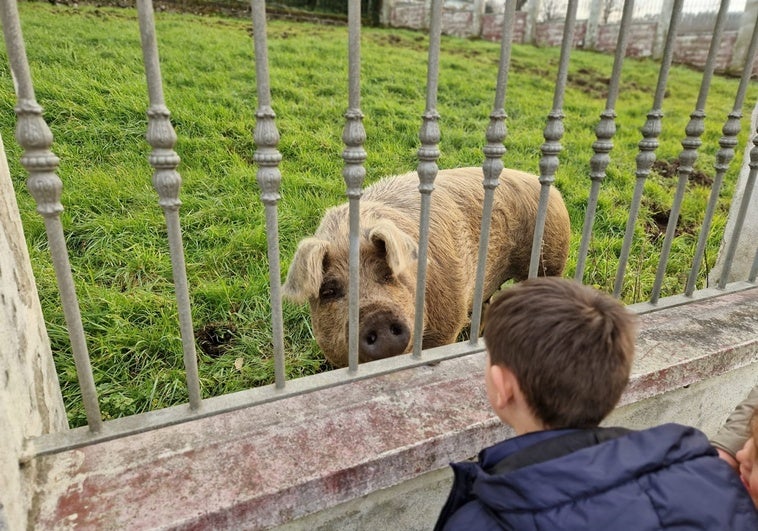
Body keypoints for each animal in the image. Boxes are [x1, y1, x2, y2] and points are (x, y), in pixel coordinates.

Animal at [284, 168, 568, 368]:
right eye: (329, 291)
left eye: (388, 274)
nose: (377, 316)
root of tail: (552, 191)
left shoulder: (447, 317)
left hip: (552, 255)